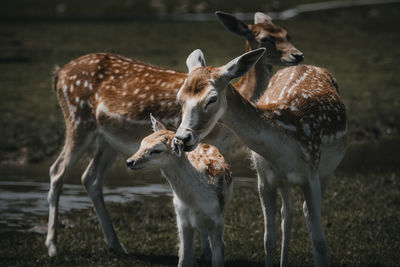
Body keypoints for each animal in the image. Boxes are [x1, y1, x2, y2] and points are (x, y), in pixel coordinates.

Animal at [126, 115, 233, 267]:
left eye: (157, 150)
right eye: (142, 142)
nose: (129, 161)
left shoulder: (218, 219)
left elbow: (218, 256)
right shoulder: (181, 219)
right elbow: (183, 257)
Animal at [174, 48, 346, 267]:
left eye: (212, 98)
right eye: (179, 98)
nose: (182, 138)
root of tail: (312, 66)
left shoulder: (311, 175)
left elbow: (319, 240)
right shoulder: (264, 180)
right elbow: (268, 239)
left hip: (327, 173)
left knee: (306, 213)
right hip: (284, 181)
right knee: (288, 212)